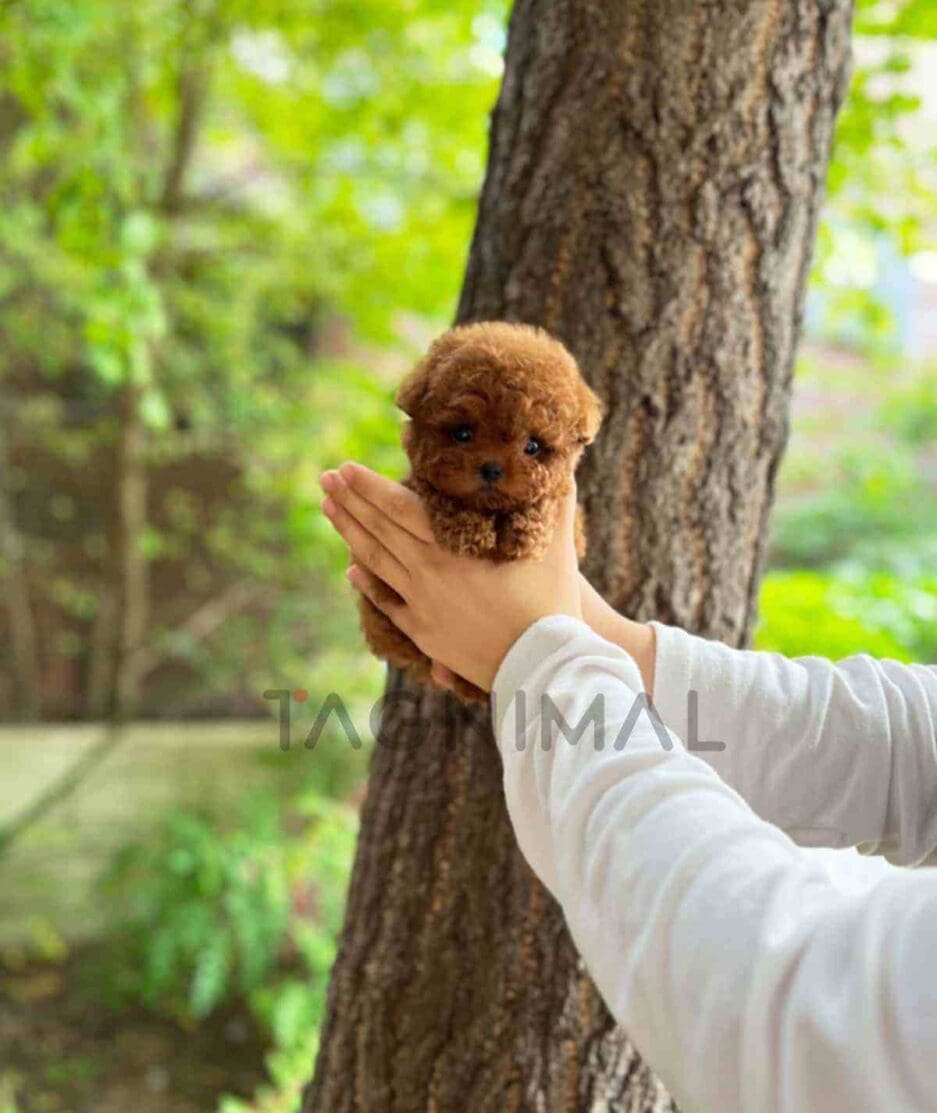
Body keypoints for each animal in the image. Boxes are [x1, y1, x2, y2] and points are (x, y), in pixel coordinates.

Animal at [358, 322, 600, 703]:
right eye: (462, 433)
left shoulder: (568, 514)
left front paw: (526, 533)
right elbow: (442, 496)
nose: (491, 469)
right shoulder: (420, 485)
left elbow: (545, 503)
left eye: (532, 446)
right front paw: (468, 531)